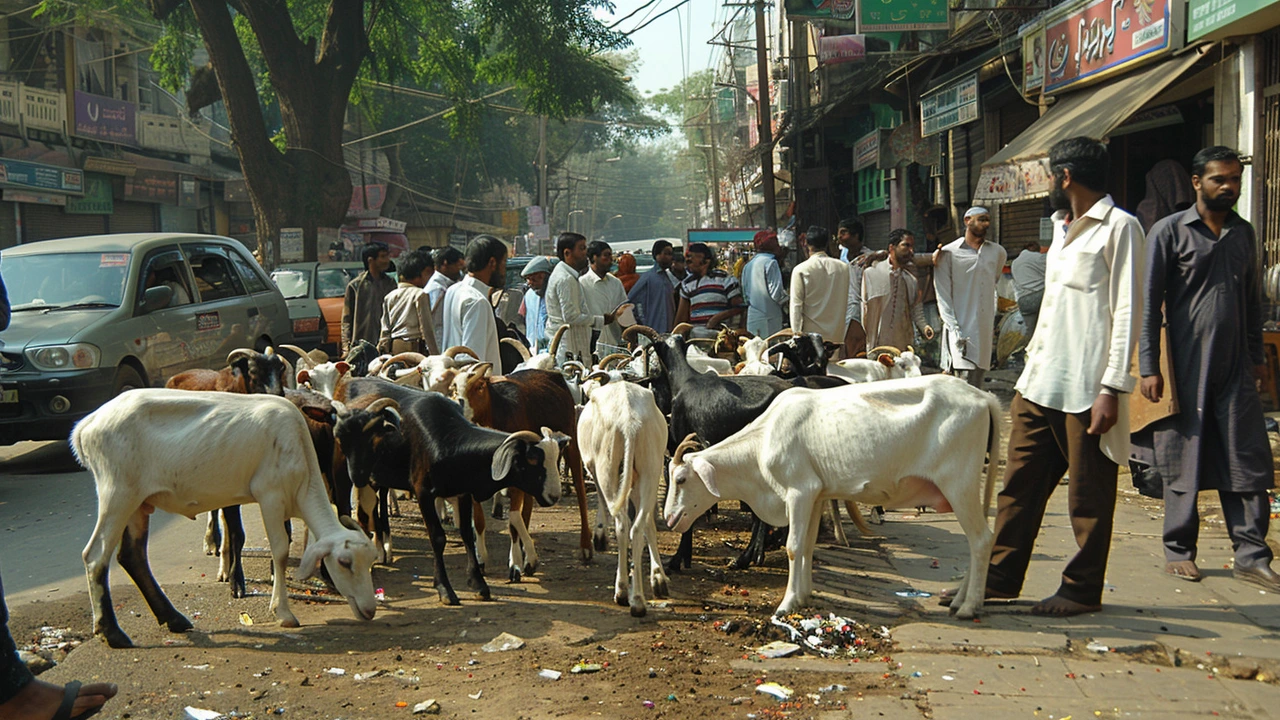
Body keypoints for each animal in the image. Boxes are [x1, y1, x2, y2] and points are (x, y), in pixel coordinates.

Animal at [70, 389, 378, 648]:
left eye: (370, 562)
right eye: (344, 562)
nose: (370, 610)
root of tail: (86, 426)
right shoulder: (270, 494)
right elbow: (280, 550)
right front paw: (283, 613)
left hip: (138, 501)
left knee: (132, 556)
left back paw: (173, 619)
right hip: (117, 492)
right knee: (95, 555)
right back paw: (112, 632)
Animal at [455, 363, 593, 576]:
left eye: (479, 386)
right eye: (454, 386)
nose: (460, 407)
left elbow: (513, 519)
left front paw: (516, 564)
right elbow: (479, 520)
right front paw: (483, 560)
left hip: (572, 443)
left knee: (580, 490)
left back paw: (585, 547)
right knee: (527, 505)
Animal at [578, 379, 670, 614]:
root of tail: (629, 421)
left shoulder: (593, 468)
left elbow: (602, 502)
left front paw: (599, 536)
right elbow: (648, 524)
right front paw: (658, 578)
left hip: (607, 467)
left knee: (622, 524)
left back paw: (621, 591)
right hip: (650, 467)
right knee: (637, 526)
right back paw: (638, 598)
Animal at [665, 376, 1003, 617]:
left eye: (681, 479)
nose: (669, 518)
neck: (763, 439)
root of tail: (983, 397)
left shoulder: (798, 492)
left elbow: (793, 546)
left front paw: (786, 604)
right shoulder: (816, 494)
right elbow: (807, 546)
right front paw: (803, 596)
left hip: (959, 484)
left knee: (981, 540)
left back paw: (968, 607)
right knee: (975, 543)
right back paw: (958, 601)